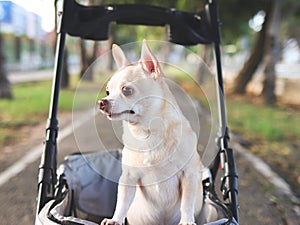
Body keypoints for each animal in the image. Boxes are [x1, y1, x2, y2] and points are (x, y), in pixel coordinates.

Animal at [99, 40, 203, 225]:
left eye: (126, 90)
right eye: (108, 92)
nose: (102, 102)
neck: (146, 132)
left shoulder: (189, 175)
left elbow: (187, 202)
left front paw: (187, 221)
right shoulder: (128, 177)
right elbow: (122, 201)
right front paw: (115, 219)